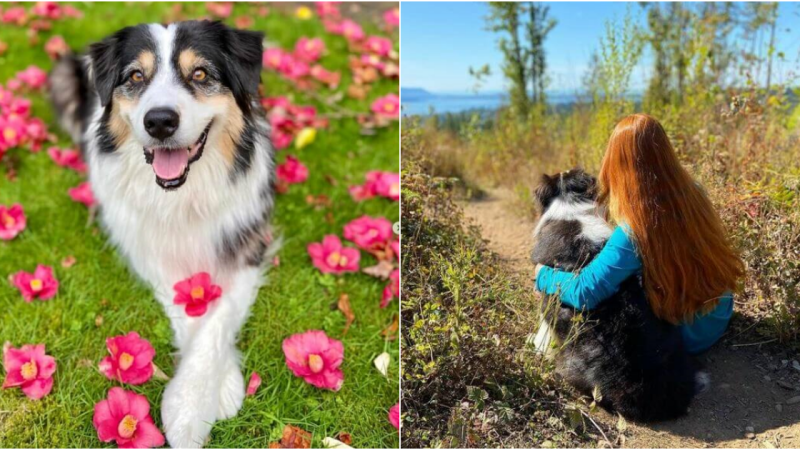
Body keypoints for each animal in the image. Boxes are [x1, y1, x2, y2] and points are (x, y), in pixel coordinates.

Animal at [51, 20, 276, 446]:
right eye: (136, 77)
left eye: (200, 74)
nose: (159, 121)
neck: (182, 195)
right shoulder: (147, 245)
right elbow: (190, 309)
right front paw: (197, 402)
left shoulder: (250, 240)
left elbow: (218, 314)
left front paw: (202, 400)